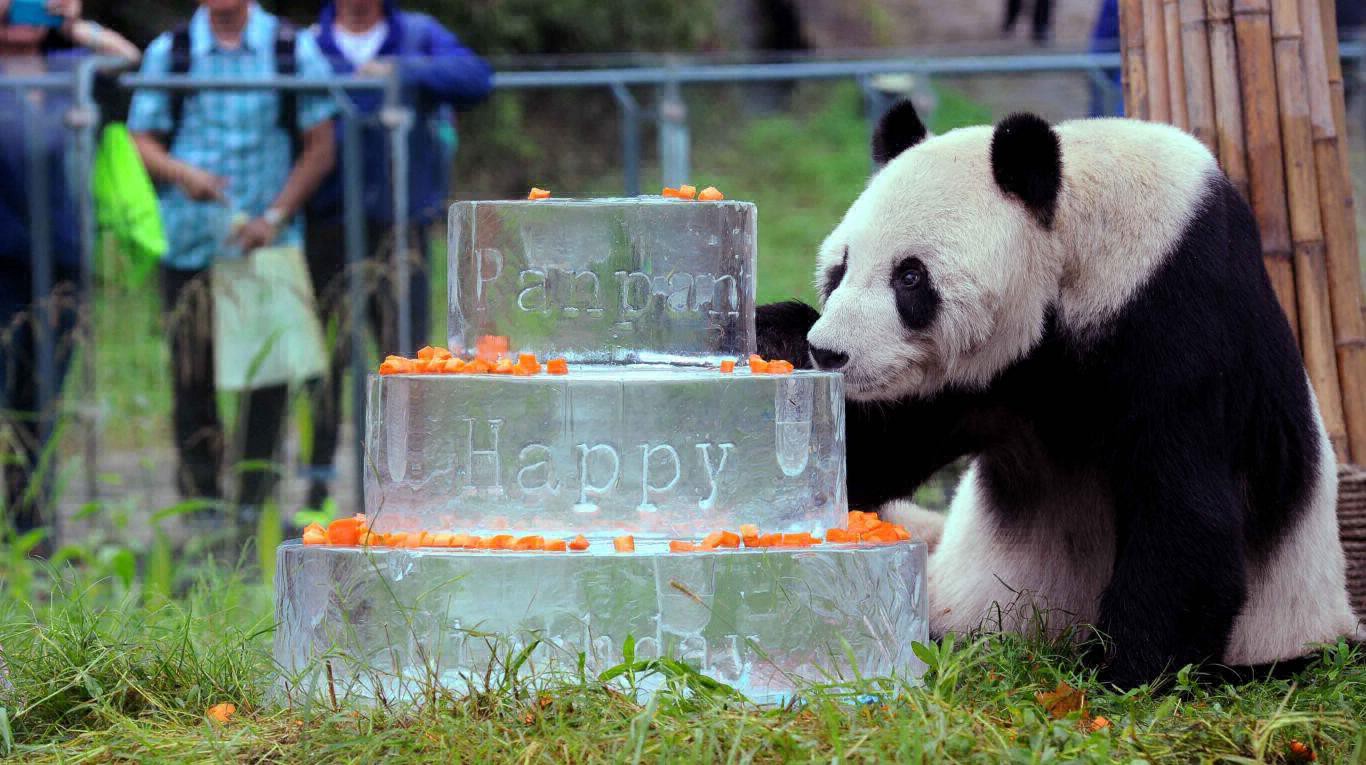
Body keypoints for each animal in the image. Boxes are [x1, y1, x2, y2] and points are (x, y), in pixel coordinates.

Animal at [757, 100, 1363, 688]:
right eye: (840, 268)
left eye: (910, 278)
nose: (830, 353)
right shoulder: (987, 378)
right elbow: (875, 455)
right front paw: (776, 338)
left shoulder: (1181, 315)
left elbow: (1185, 506)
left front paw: (1125, 673)